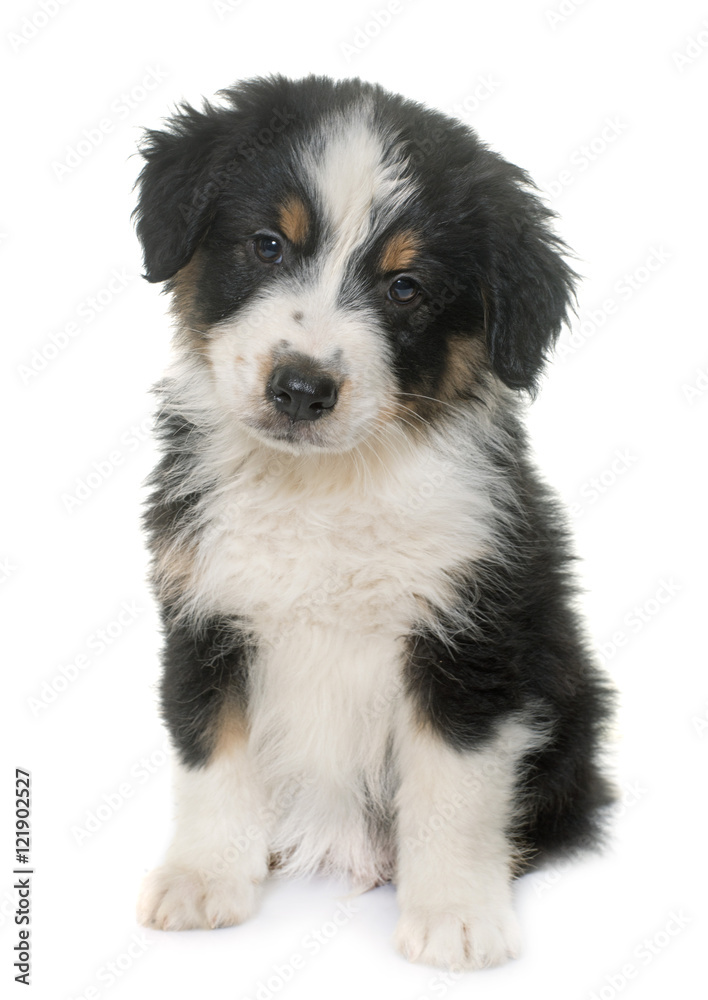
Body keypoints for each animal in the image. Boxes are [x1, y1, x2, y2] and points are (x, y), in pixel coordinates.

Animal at [133, 76, 612, 968]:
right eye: (268, 245)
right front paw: (203, 880)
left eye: (405, 288)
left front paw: (455, 916)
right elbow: (209, 753)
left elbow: (452, 787)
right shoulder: (205, 611)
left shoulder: (472, 636)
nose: (300, 388)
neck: (322, 490)